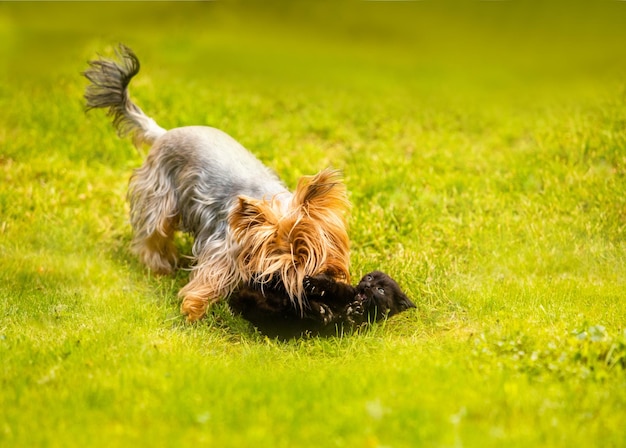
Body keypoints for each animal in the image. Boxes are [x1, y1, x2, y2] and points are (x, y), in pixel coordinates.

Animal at [81, 44, 352, 322]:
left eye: (318, 253)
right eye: (287, 269)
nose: (320, 281)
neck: (272, 200)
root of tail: (164, 133)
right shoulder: (225, 247)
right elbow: (211, 277)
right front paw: (193, 310)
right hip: (159, 195)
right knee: (153, 233)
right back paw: (159, 267)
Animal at [229, 270, 414, 340]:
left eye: (380, 290)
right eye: (369, 277)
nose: (367, 286)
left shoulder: (345, 331)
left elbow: (341, 322)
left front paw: (353, 312)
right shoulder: (343, 291)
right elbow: (330, 284)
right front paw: (313, 283)